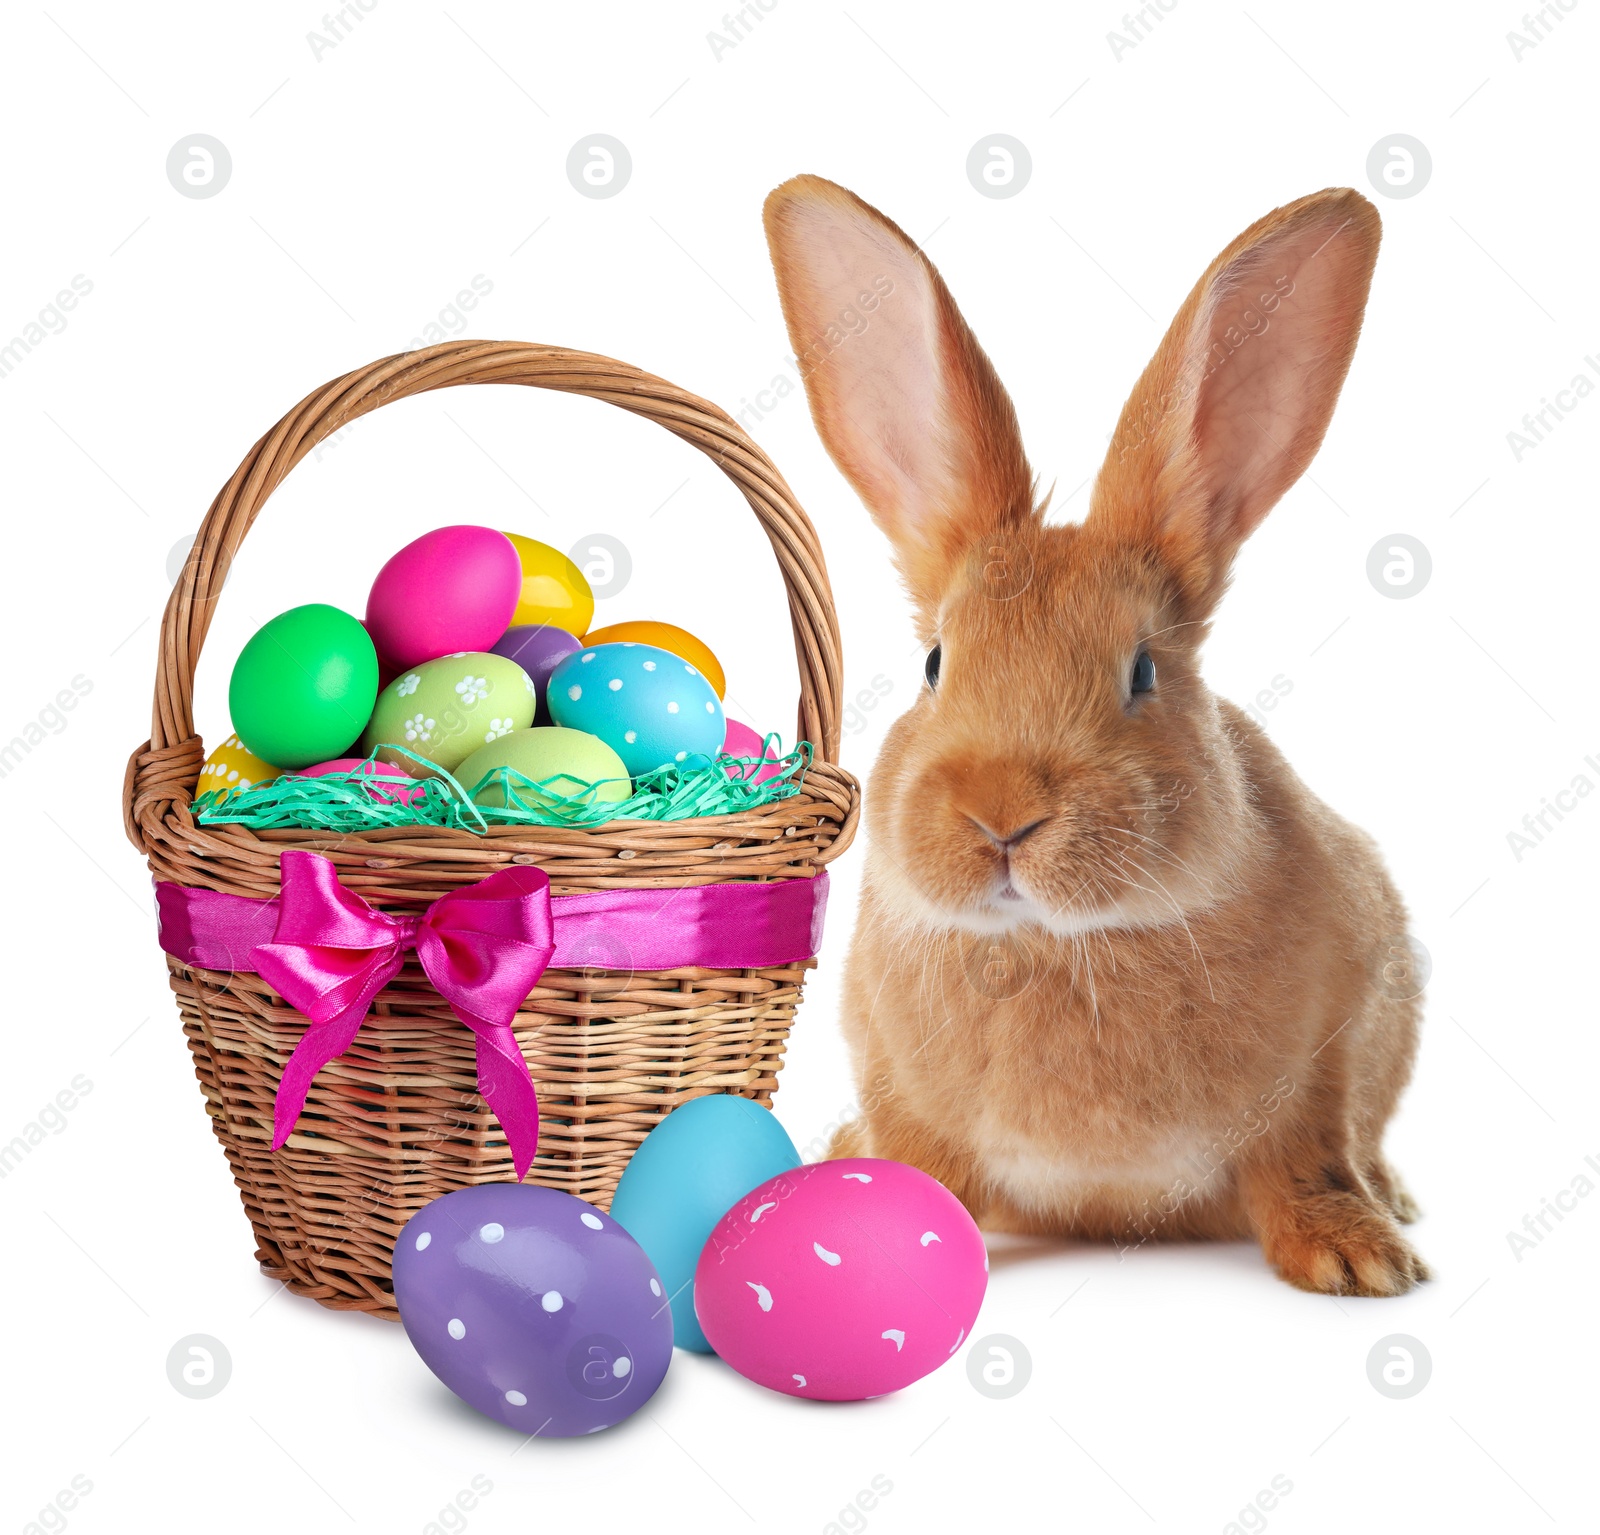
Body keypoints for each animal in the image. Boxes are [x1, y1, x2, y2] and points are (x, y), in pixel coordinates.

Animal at [768, 171, 1433, 1293]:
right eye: (936, 663)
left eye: (1142, 671)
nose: (1001, 814)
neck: (1056, 941)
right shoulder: (904, 1091)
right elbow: (918, 1162)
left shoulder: (1322, 1069)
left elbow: (1305, 1163)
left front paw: (1359, 1260)